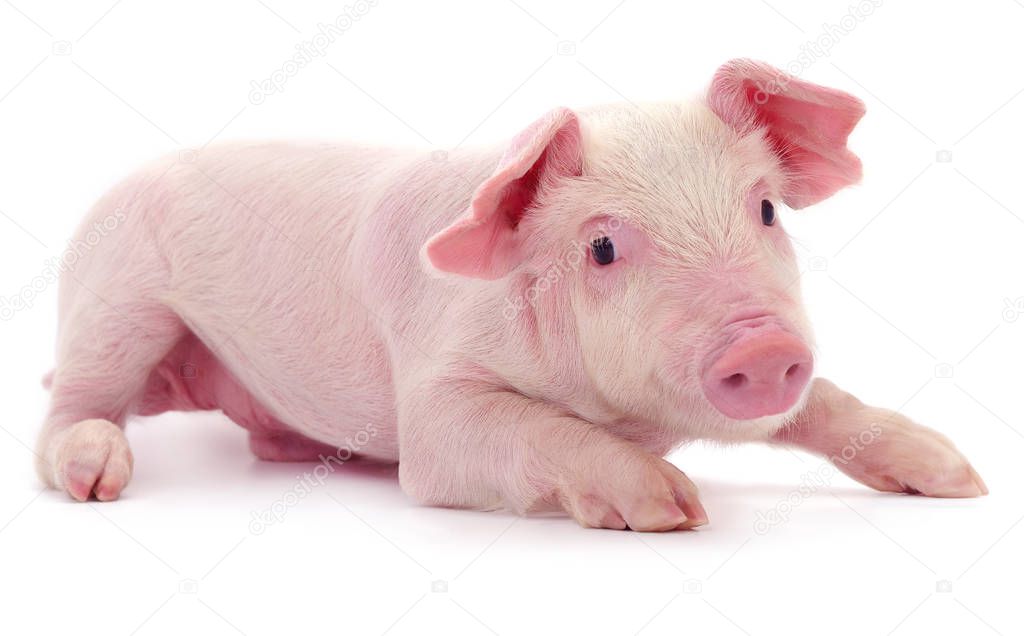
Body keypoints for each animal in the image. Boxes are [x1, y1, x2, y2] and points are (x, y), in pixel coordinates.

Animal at [36, 59, 987, 528]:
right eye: (602, 246)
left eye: (765, 210)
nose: (761, 347)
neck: (625, 415)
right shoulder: (436, 399)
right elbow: (485, 438)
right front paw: (673, 509)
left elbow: (825, 403)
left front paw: (959, 479)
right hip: (113, 304)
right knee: (67, 414)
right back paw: (94, 478)